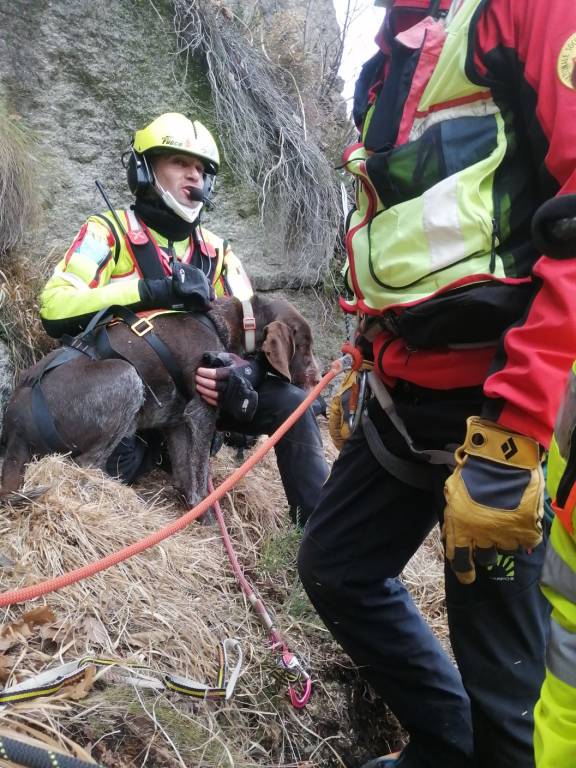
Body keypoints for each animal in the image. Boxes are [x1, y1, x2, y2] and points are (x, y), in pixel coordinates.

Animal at [0, 296, 320, 508]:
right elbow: (200, 478)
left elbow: (184, 474)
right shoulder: (201, 413)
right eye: (305, 346)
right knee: (85, 466)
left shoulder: (176, 422)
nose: (318, 383)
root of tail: (15, 430)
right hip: (127, 376)